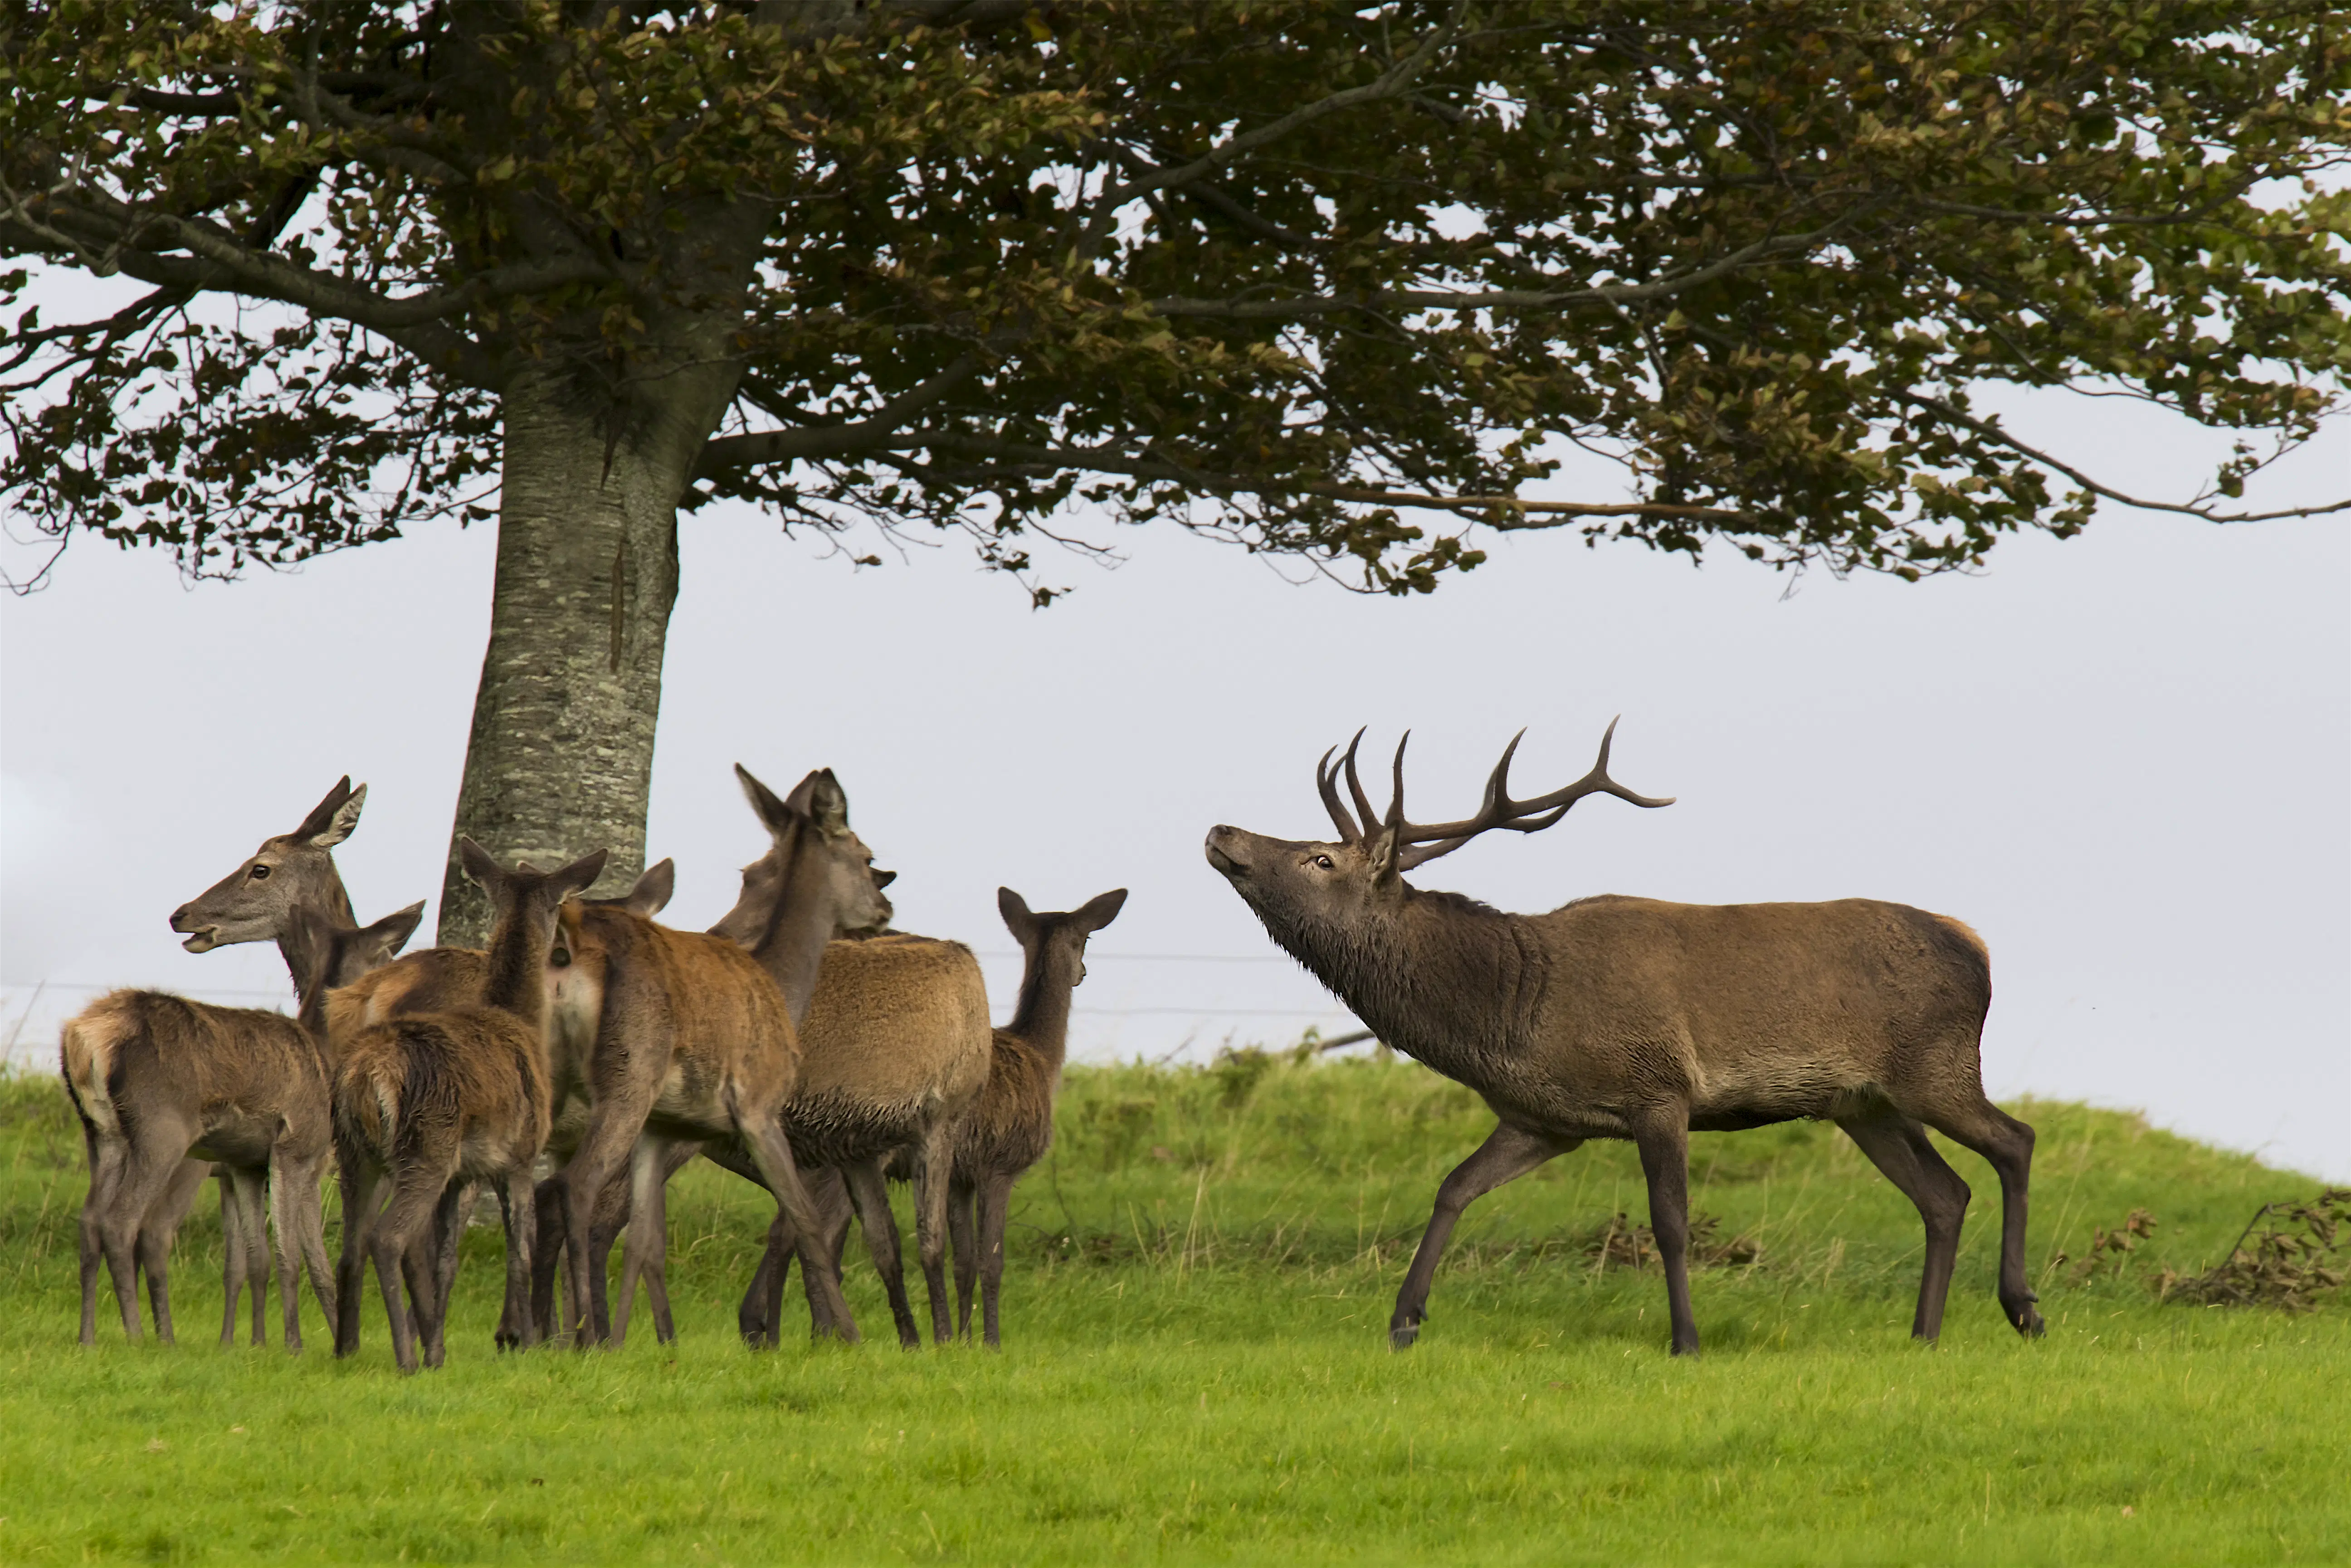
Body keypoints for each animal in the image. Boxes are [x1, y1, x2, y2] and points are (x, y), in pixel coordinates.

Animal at [62, 898, 424, 1350]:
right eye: (387, 955)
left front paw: (261, 1344)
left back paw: (88, 1337)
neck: (325, 1057)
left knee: (90, 1221)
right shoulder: (298, 1149)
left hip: (102, 1134)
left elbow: (266, 1259)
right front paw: (297, 1345)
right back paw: (138, 1336)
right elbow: (296, 1256)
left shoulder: (247, 1166)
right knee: (126, 1223)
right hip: (162, 1132)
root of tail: (85, 1036)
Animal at [331, 843, 603, 1372]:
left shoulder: (464, 1174)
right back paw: (404, 1357)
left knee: (351, 1246)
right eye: (561, 905)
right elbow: (521, 1251)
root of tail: (367, 1074)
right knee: (386, 1238)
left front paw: (439, 1349)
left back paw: (347, 1351)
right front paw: (525, 1343)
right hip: (425, 1144)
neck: (520, 1021)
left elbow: (447, 1260)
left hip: (355, 1152)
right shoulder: (520, 1156)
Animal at [941, 886, 1127, 1346]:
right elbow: (991, 1262)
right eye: (1087, 938)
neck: (1044, 1057)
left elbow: (962, 1262)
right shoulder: (999, 1164)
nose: (1083, 972)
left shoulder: (958, 1175)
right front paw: (991, 1343)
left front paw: (961, 1341)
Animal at [1204, 720, 2044, 1357]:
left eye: (1320, 857)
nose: (1220, 829)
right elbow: (1453, 1186)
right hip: (1863, 1103)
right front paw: (1403, 1320)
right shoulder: (1543, 1119)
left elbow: (1670, 1222)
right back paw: (1923, 1333)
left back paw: (2022, 1307)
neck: (1512, 1014)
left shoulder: (1659, 1089)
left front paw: (1686, 1340)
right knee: (1944, 1193)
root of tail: (1976, 945)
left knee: (2014, 1139)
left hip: (1936, 1065)